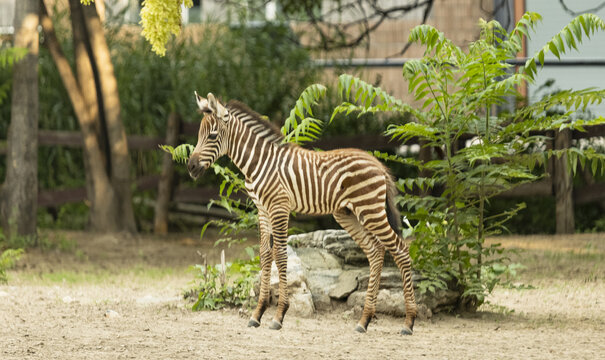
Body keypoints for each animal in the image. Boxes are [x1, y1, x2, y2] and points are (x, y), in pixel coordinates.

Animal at [188, 92, 416, 334]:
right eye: (199, 134)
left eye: (212, 136)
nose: (190, 167)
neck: (259, 162)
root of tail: (378, 164)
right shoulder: (262, 210)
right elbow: (265, 255)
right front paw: (257, 314)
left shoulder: (279, 207)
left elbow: (280, 254)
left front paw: (279, 315)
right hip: (348, 214)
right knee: (375, 252)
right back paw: (364, 321)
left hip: (370, 210)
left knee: (400, 250)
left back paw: (409, 322)